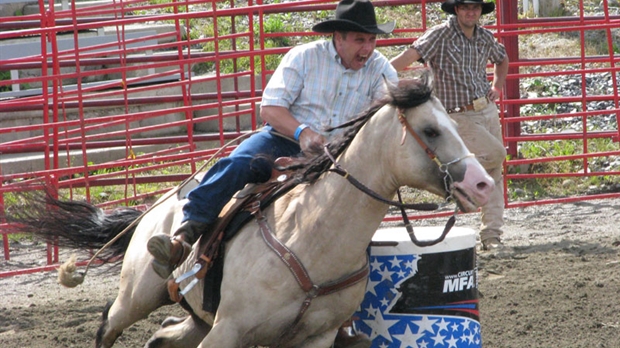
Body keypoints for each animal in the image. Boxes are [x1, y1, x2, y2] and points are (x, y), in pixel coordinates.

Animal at [7, 72, 494, 346]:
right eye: (430, 130)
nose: (482, 183)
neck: (312, 236)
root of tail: (153, 211)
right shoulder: (228, 331)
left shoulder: (313, 339)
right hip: (138, 295)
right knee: (109, 323)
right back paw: (172, 245)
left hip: (196, 318)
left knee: (162, 337)